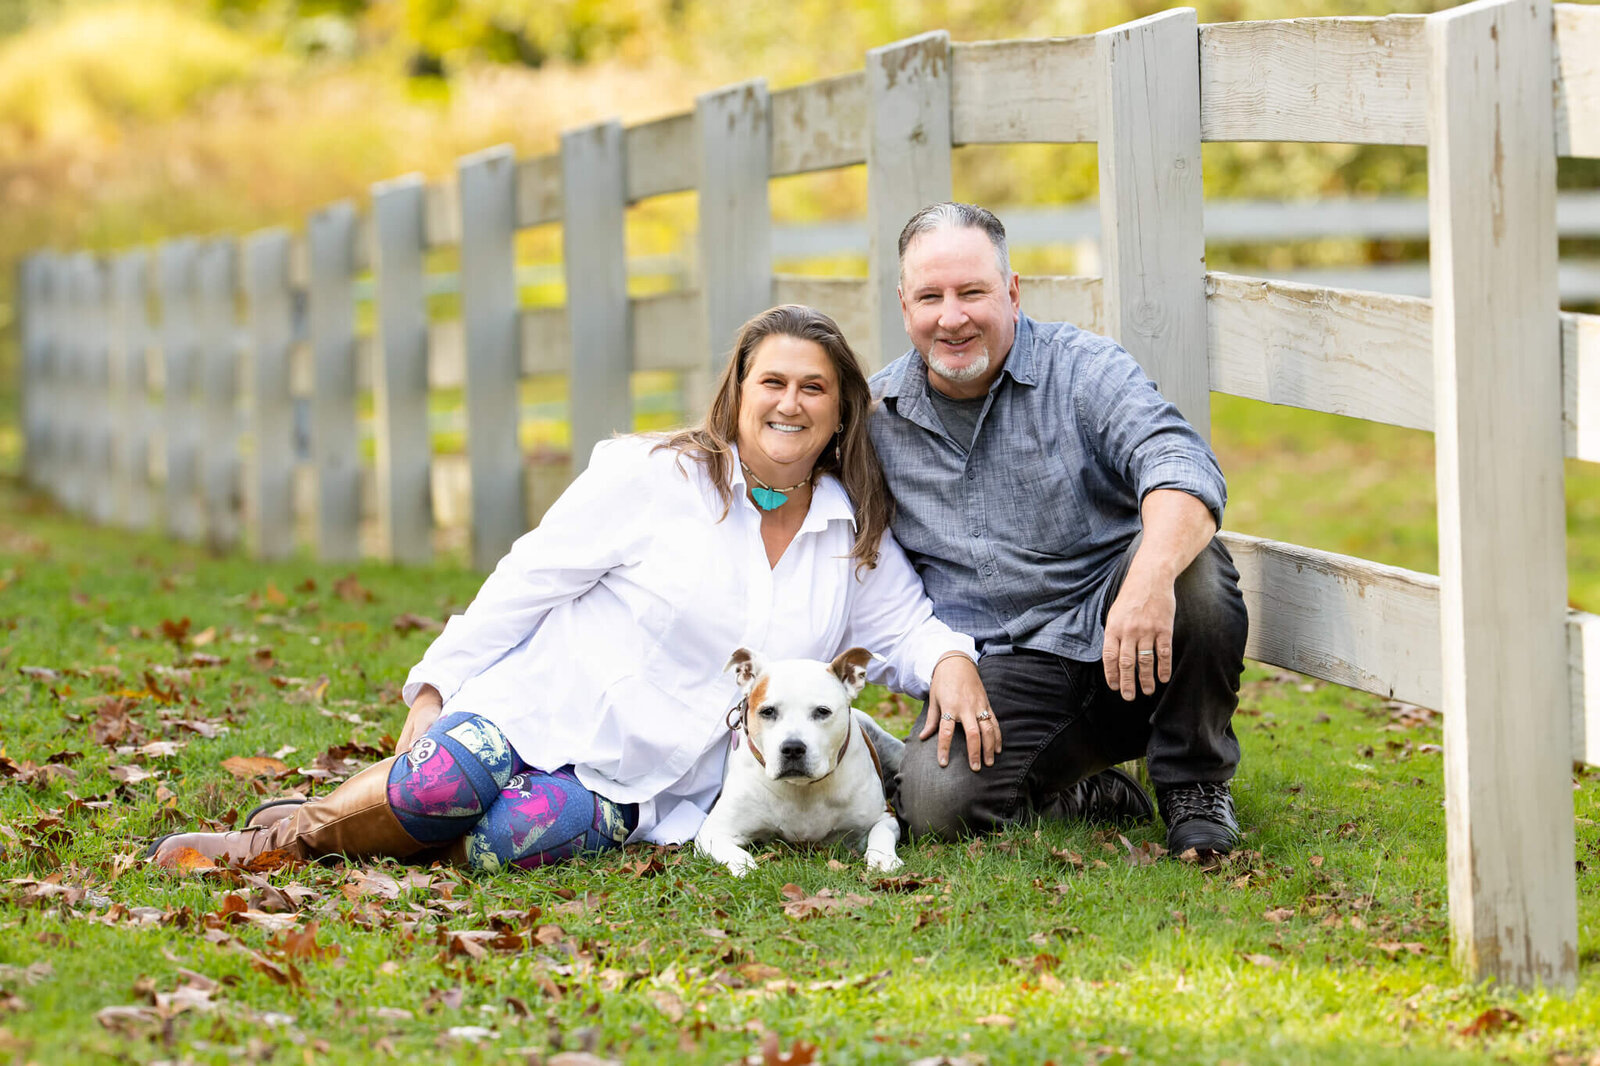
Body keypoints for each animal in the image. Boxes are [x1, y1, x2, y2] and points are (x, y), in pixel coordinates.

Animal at [694, 643, 908, 877]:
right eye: (768, 711)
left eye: (822, 711)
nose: (793, 748)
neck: (803, 787)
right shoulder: (713, 832)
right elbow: (735, 854)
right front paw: (747, 869)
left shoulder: (884, 816)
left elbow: (881, 831)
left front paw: (883, 859)